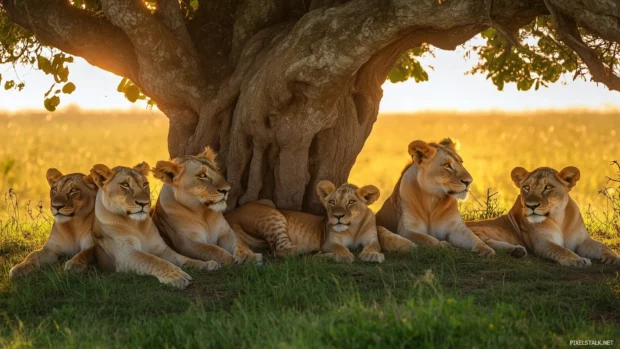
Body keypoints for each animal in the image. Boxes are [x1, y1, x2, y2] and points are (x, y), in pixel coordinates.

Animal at [89, 162, 219, 288]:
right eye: (125, 184)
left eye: (145, 184)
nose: (144, 203)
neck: (137, 225)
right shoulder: (124, 254)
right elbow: (152, 260)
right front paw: (177, 276)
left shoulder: (161, 248)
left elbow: (182, 258)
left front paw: (206, 264)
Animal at [225, 179, 414, 260]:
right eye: (332, 202)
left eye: (351, 202)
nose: (337, 216)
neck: (353, 228)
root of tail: (229, 214)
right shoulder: (329, 241)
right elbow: (339, 248)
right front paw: (345, 256)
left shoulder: (372, 238)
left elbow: (374, 246)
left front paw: (371, 255)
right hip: (273, 215)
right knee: (281, 249)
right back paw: (313, 251)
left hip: (268, 203)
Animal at [468, 164, 616, 266]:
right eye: (526, 187)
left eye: (548, 187)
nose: (531, 205)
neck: (559, 219)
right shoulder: (542, 242)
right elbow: (560, 250)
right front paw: (578, 260)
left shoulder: (582, 241)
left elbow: (603, 246)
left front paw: (613, 258)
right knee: (487, 242)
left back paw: (518, 251)